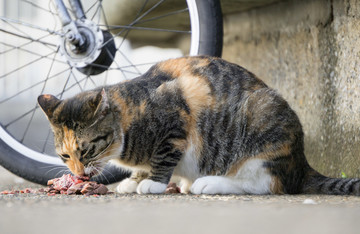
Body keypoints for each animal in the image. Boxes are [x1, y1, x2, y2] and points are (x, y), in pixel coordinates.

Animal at [38, 56, 360, 196]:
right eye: (65, 156)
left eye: (86, 150)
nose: (79, 173)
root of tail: (302, 163)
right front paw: (135, 179)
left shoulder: (174, 120)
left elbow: (163, 155)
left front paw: (152, 182)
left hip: (262, 123)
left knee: (265, 184)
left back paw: (208, 183)